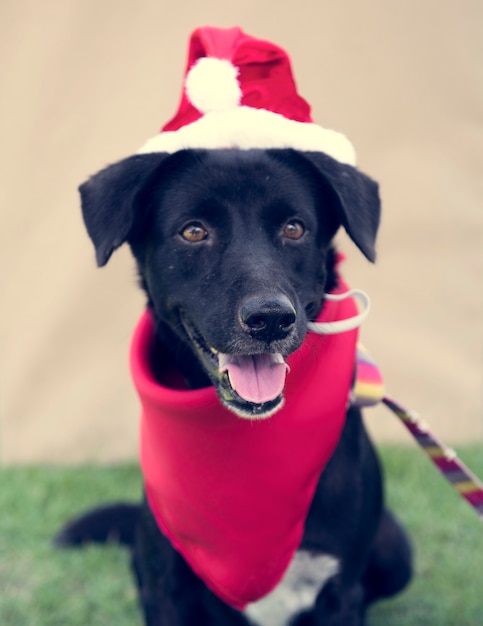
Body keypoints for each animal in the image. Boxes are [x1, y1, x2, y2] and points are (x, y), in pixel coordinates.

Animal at [55, 25, 412, 624]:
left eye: (295, 228)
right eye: (193, 231)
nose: (270, 318)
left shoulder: (340, 592)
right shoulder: (168, 586)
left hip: (394, 546)